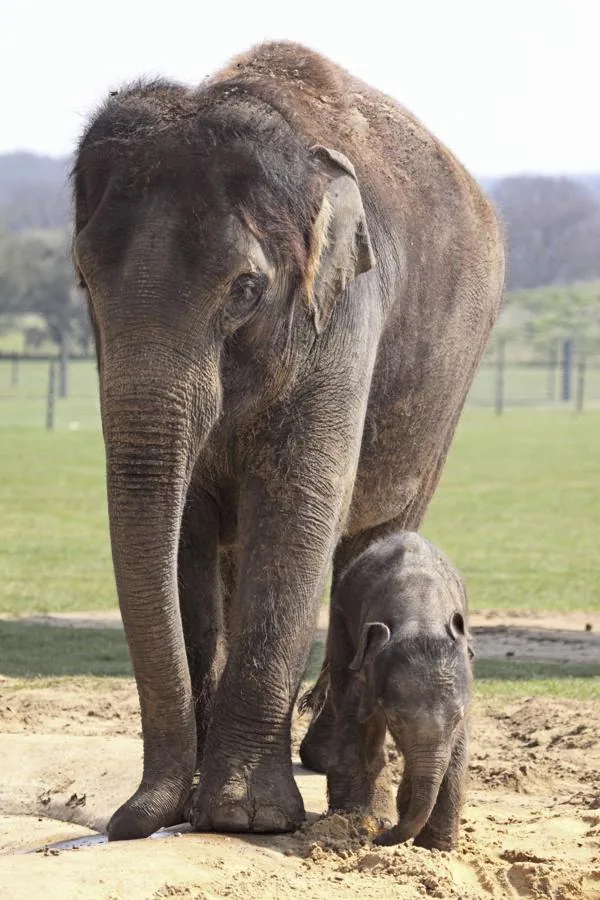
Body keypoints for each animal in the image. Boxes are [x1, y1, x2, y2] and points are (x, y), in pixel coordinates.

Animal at [300, 532, 473, 851]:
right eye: (398, 721)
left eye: (457, 718)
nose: (379, 838)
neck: (422, 616)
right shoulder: (368, 660)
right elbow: (358, 715)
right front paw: (356, 819)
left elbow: (458, 747)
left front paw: (436, 847)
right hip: (340, 624)